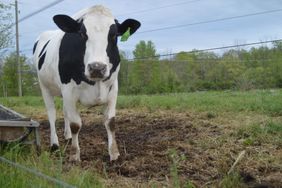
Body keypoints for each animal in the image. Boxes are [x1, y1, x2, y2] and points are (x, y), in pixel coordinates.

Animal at [33, 5, 141, 162]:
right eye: (82, 34)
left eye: (114, 35)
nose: (97, 67)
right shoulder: (68, 90)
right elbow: (75, 124)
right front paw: (74, 155)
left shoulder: (113, 89)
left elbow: (110, 122)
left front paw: (114, 154)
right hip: (45, 87)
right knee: (51, 114)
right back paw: (55, 145)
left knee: (64, 112)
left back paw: (67, 136)